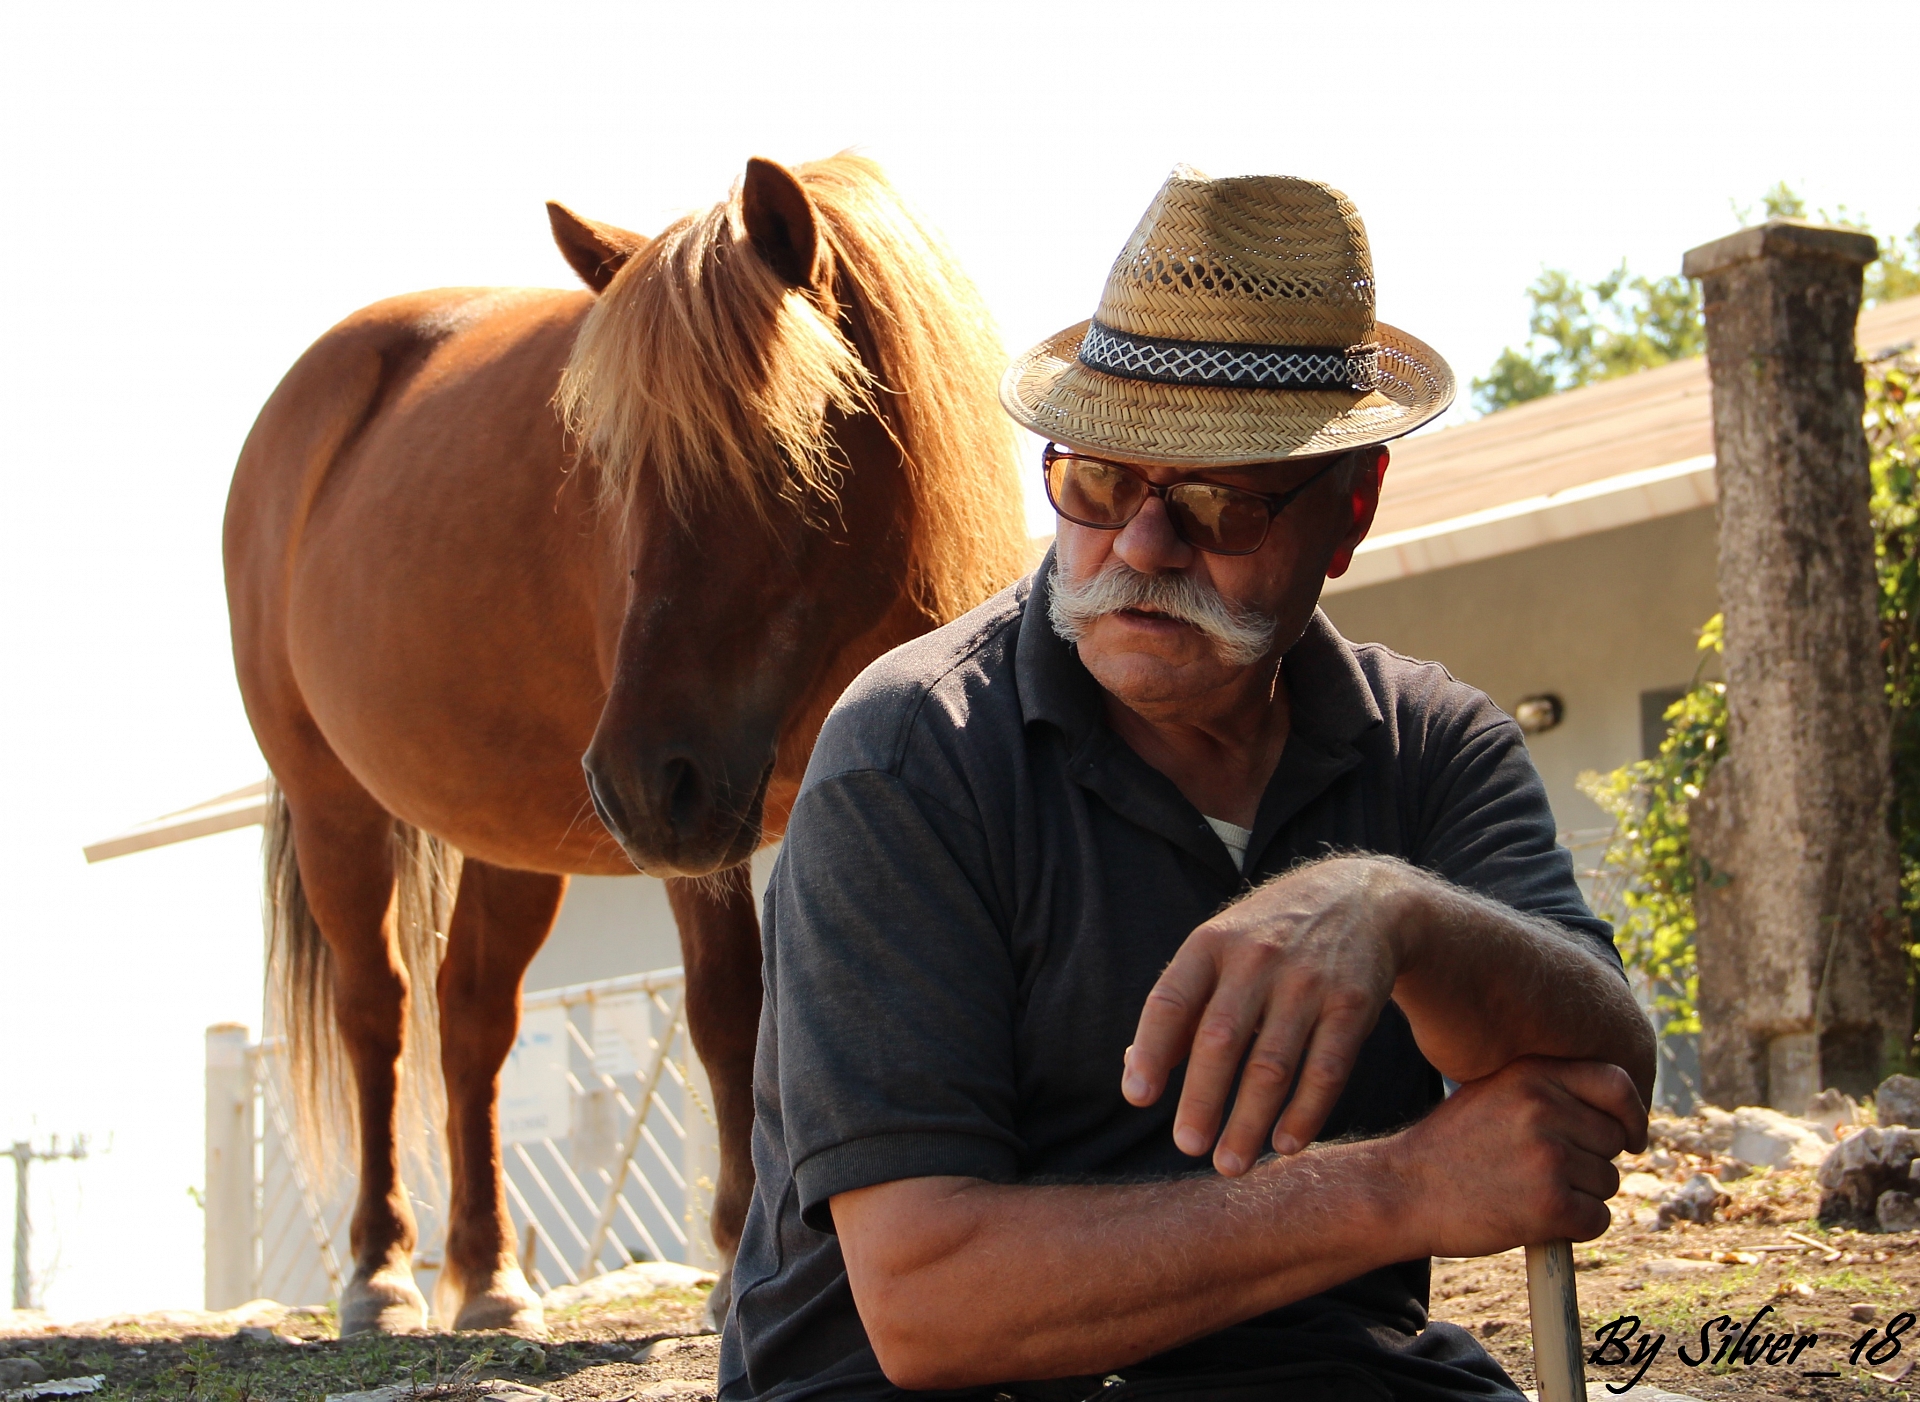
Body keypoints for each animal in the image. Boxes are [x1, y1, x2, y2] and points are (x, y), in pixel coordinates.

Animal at [223, 152, 1031, 1335]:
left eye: (786, 441)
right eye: (605, 459)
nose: (638, 783)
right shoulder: (706, 819)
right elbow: (729, 1008)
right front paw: (737, 1251)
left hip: (514, 838)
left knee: (473, 1021)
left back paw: (492, 1276)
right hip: (340, 808)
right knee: (380, 1013)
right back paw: (382, 1272)